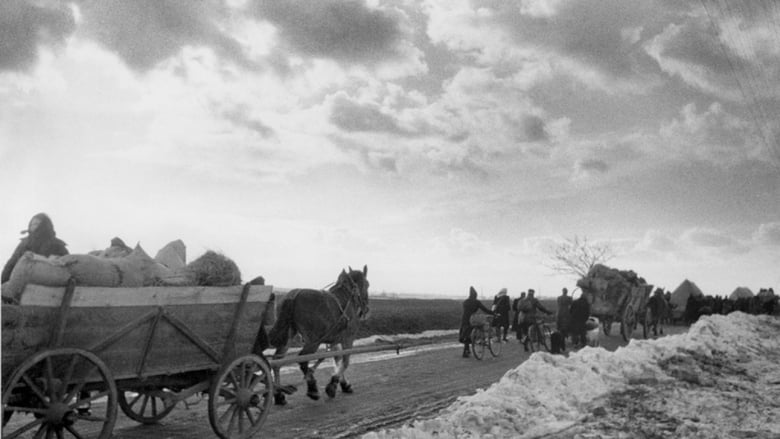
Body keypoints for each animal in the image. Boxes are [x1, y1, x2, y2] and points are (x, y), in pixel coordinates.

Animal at [266, 264, 370, 406]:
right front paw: (332, 385)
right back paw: (312, 389)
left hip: (288, 336)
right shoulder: (348, 339)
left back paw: (279, 395)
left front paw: (343, 384)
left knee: (277, 361)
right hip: (312, 341)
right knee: (302, 360)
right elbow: (345, 361)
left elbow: (337, 359)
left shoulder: (334, 340)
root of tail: (294, 295)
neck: (348, 297)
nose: (366, 309)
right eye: (367, 284)